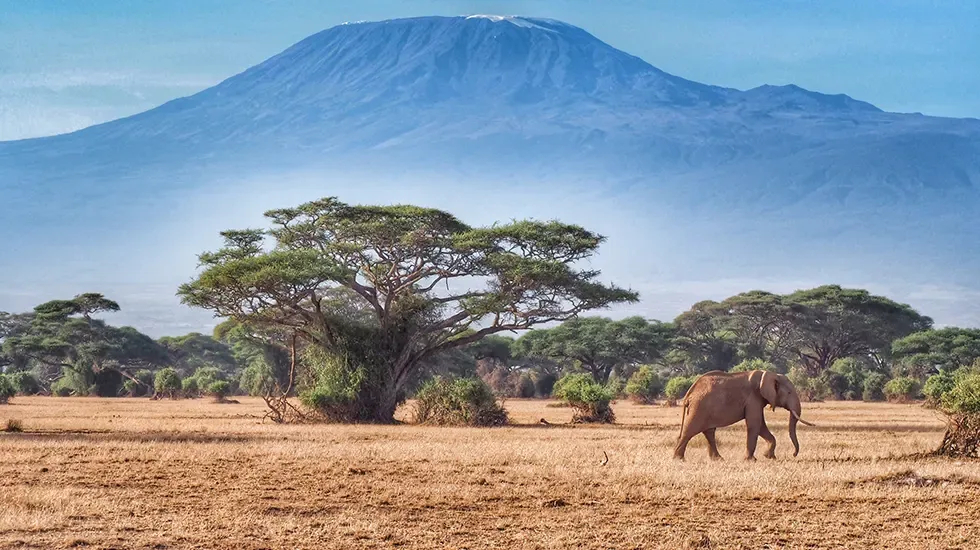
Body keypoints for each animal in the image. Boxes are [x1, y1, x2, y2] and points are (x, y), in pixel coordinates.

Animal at [673, 370, 815, 460]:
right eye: (789, 393)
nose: (793, 454)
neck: (770, 374)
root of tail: (689, 394)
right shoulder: (753, 398)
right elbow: (755, 424)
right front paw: (751, 460)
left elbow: (761, 425)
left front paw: (769, 457)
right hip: (699, 407)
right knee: (690, 430)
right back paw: (678, 459)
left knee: (709, 432)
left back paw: (718, 459)